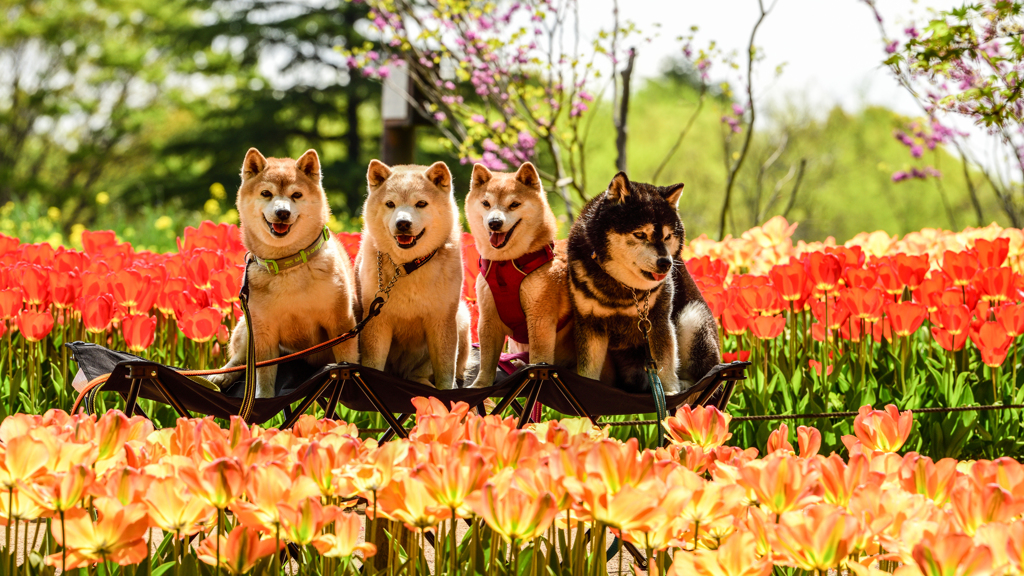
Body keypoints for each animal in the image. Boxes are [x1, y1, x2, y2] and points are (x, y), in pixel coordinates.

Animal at [207, 147, 360, 397]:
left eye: (296, 195)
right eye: (266, 193)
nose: (282, 212)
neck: (288, 263)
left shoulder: (341, 323)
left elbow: (347, 364)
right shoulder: (263, 330)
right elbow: (263, 378)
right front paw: (263, 400)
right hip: (247, 326)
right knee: (240, 359)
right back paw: (221, 376)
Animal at [356, 158, 471, 387]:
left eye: (421, 203)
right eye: (390, 204)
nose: (403, 223)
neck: (407, 268)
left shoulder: (442, 320)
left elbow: (446, 374)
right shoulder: (376, 323)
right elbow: (373, 366)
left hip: (462, 317)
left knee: (423, 374)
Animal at [466, 161, 577, 385]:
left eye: (514, 204)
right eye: (486, 203)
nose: (494, 222)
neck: (504, 264)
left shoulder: (540, 321)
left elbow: (539, 360)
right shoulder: (488, 319)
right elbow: (487, 362)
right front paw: (480, 385)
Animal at [569, 172, 720, 391]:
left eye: (667, 236)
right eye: (640, 234)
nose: (666, 263)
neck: (623, 289)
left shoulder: (658, 321)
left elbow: (665, 365)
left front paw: (670, 393)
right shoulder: (589, 324)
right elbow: (588, 372)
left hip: (691, 318)